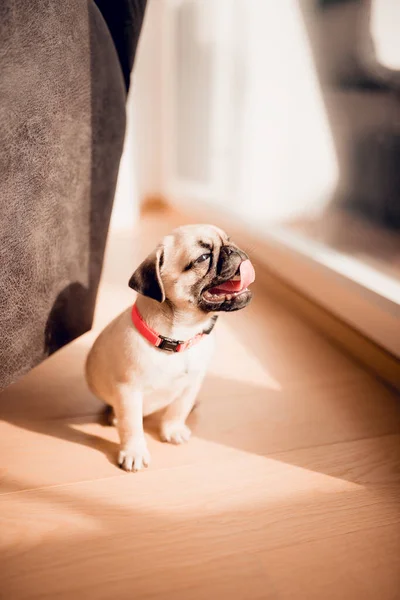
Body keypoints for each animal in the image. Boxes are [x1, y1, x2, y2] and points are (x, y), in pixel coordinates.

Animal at [86, 223, 256, 472]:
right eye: (203, 257)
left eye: (229, 240)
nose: (232, 249)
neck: (178, 337)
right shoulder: (129, 392)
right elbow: (131, 426)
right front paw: (134, 451)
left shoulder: (192, 384)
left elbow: (179, 409)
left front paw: (172, 429)